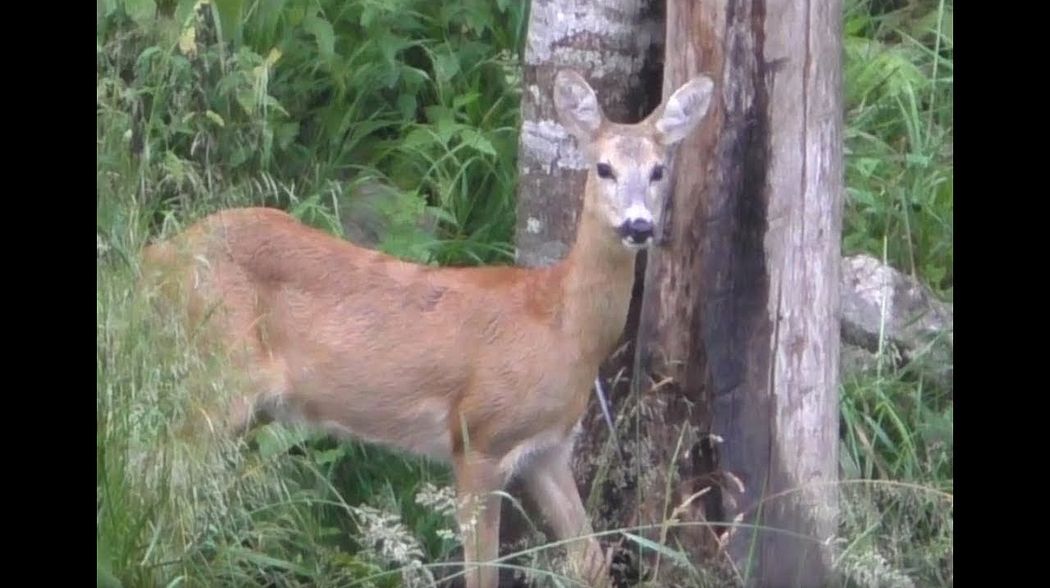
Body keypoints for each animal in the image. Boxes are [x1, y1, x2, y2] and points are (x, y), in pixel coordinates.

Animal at [141, 69, 713, 588]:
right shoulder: (478, 435)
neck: (560, 325)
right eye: (603, 167)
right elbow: (482, 573)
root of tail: (157, 256)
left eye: (659, 170)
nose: (638, 226)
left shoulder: (548, 448)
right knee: (160, 482)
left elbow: (590, 561)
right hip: (218, 378)